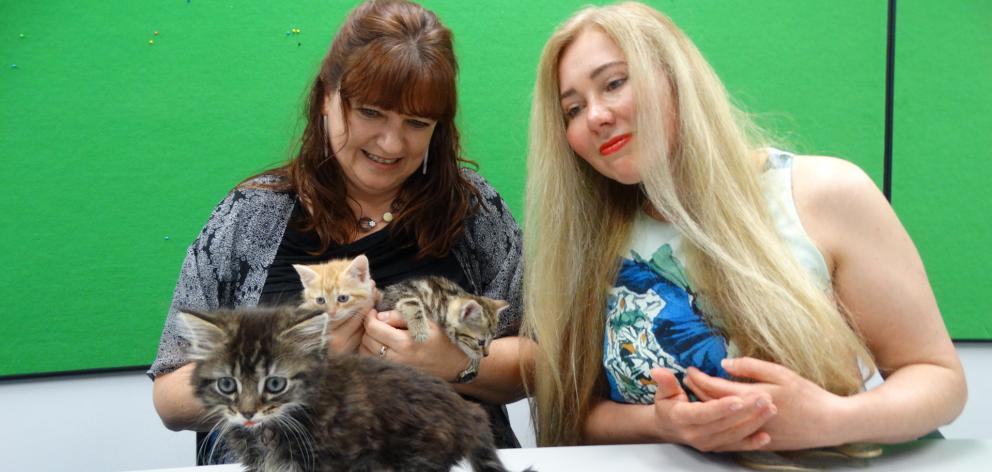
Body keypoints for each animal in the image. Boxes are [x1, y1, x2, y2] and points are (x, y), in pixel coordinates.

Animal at [376, 274, 508, 360]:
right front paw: (420, 331)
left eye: (491, 340)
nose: (486, 355)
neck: (443, 298)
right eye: (481, 342)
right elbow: (412, 302)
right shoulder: (399, 291)